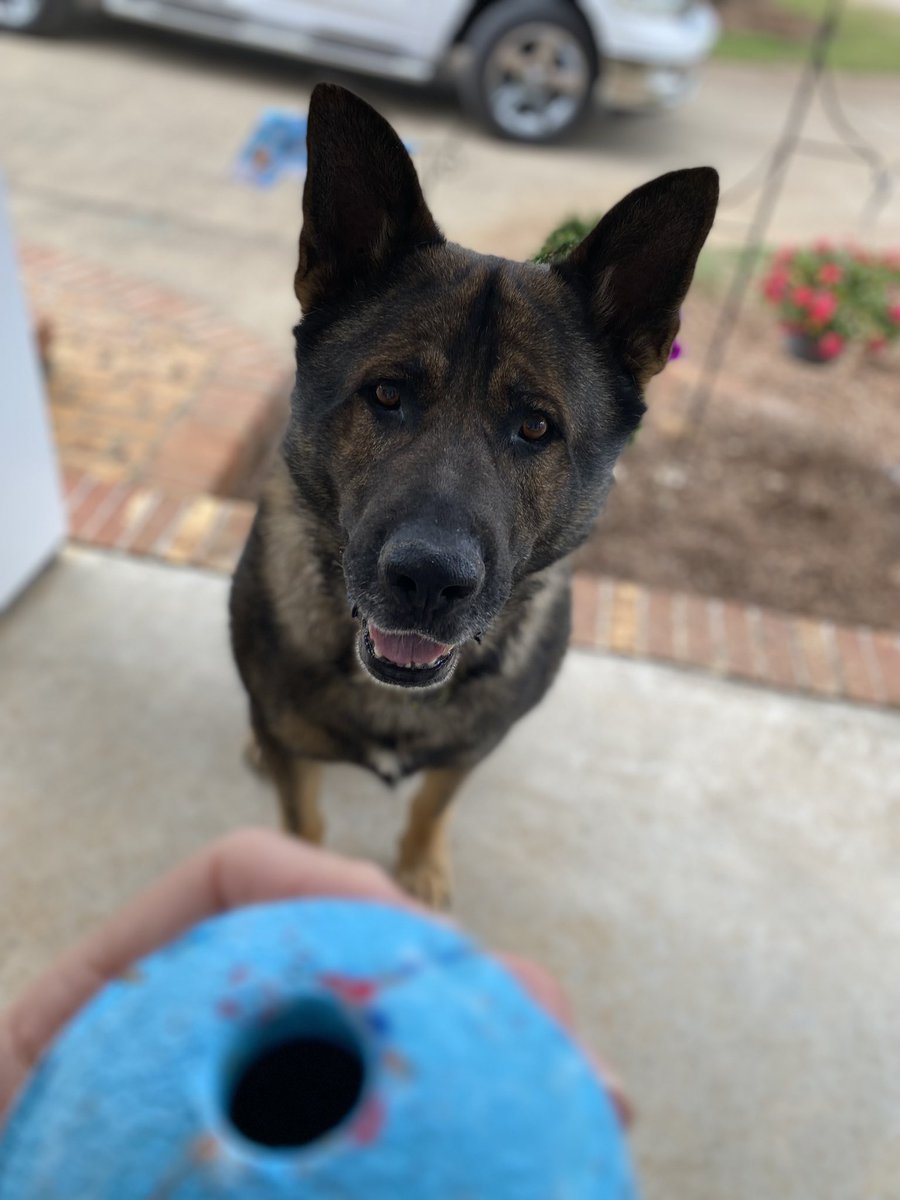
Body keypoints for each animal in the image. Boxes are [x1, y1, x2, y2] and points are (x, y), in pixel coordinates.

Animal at [230, 84, 720, 902]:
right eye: (386, 393)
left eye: (536, 426)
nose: (428, 582)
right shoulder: (298, 758)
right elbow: (304, 823)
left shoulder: (471, 750)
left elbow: (433, 800)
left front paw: (421, 865)